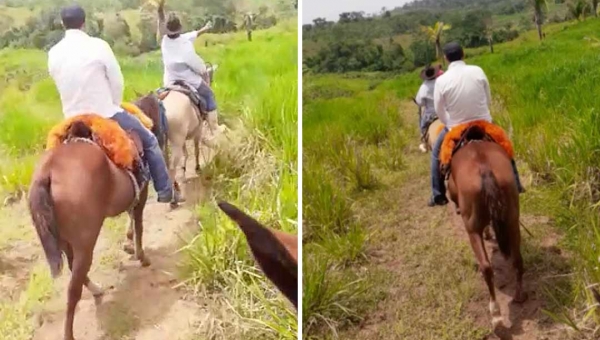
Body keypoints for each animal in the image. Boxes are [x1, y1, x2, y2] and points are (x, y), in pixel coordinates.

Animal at [28, 93, 162, 340]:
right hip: (85, 241)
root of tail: (48, 172)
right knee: (73, 289)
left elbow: (132, 220)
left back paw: (97, 290)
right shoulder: (141, 194)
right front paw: (141, 255)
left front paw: (129, 245)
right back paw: (70, 333)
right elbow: (138, 224)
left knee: (75, 271)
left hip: (66, 240)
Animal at [446, 140, 524, 326]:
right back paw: (519, 295)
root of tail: (483, 168)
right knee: (517, 259)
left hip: (472, 230)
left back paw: (495, 313)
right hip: (512, 220)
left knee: (486, 267)